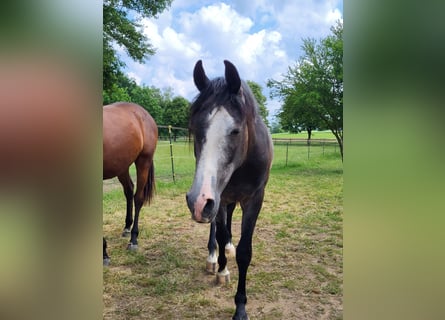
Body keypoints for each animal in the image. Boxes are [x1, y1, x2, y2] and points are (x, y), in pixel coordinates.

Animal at [101, 101, 157, 264]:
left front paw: (104, 253)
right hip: (122, 166)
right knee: (129, 190)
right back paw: (126, 227)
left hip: (143, 161)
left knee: (138, 198)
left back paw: (133, 239)